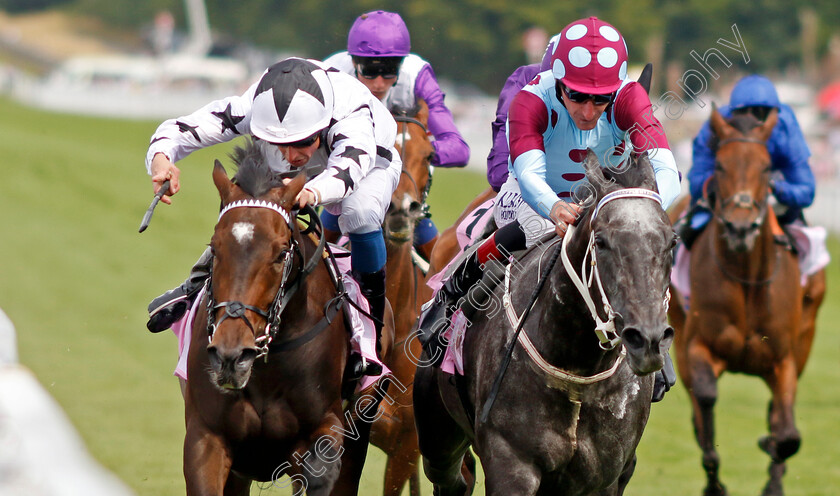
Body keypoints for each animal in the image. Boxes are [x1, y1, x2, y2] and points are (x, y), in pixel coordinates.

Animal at [184, 141, 384, 494]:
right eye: (215, 248)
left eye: (280, 254)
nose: (231, 354)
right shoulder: (206, 434)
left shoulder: (326, 425)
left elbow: (320, 470)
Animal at [414, 150, 676, 496]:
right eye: (602, 242)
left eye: (672, 242)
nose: (646, 340)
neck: (579, 369)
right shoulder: (511, 464)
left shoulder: (604, 476)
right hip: (437, 436)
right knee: (451, 477)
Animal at [668, 106, 828, 494]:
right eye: (720, 165)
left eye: (767, 167)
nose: (740, 228)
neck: (748, 279)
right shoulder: (697, 345)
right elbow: (705, 398)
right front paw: (715, 482)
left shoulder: (784, 360)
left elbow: (787, 433)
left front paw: (772, 467)